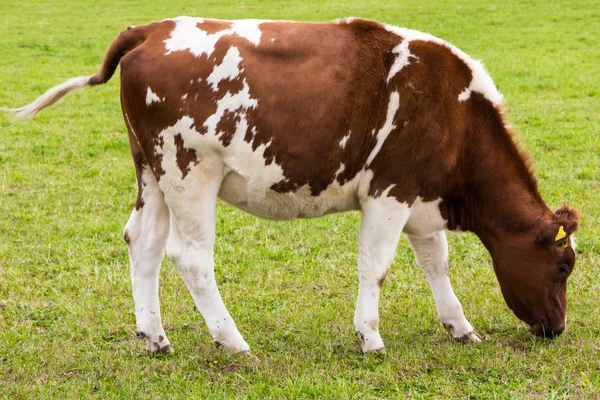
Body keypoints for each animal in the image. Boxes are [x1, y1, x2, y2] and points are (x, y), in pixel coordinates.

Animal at [2, 16, 580, 354]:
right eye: (562, 266)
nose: (557, 327)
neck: (455, 111)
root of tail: (153, 28)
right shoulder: (389, 192)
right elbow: (376, 265)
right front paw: (370, 336)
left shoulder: (420, 195)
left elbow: (435, 263)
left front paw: (460, 327)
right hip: (190, 172)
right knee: (190, 257)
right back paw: (232, 341)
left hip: (152, 172)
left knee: (142, 243)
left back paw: (154, 337)